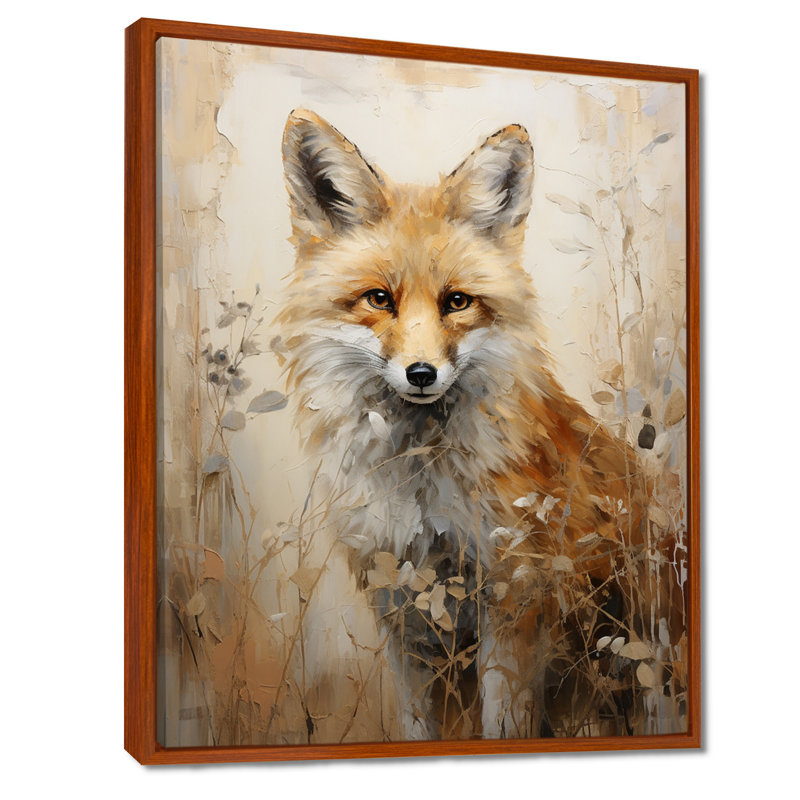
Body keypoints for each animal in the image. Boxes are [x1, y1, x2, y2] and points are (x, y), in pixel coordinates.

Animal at [278, 109, 662, 740]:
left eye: (456, 302)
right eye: (378, 299)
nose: (421, 373)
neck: (421, 489)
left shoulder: (514, 599)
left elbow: (503, 722)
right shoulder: (401, 609)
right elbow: (415, 725)